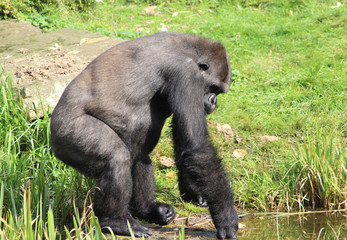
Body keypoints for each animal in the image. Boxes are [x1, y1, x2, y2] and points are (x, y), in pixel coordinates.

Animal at [51, 31, 239, 238]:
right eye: (214, 88)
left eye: (218, 92)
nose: (213, 102)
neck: (188, 48)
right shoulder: (187, 74)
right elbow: (195, 146)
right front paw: (225, 215)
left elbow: (184, 139)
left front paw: (193, 190)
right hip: (67, 132)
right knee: (117, 157)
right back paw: (115, 221)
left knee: (138, 152)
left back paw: (147, 209)